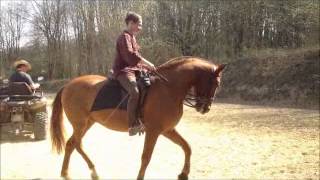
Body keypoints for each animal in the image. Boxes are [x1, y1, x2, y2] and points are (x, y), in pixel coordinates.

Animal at [50, 56, 226, 179]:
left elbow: (187, 147)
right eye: (216, 84)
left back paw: (71, 172)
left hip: (87, 123)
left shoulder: (167, 130)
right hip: (80, 124)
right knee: (75, 144)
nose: (205, 108)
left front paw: (184, 174)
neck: (168, 88)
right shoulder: (153, 131)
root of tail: (68, 85)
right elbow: (146, 157)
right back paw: (89, 171)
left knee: (72, 144)